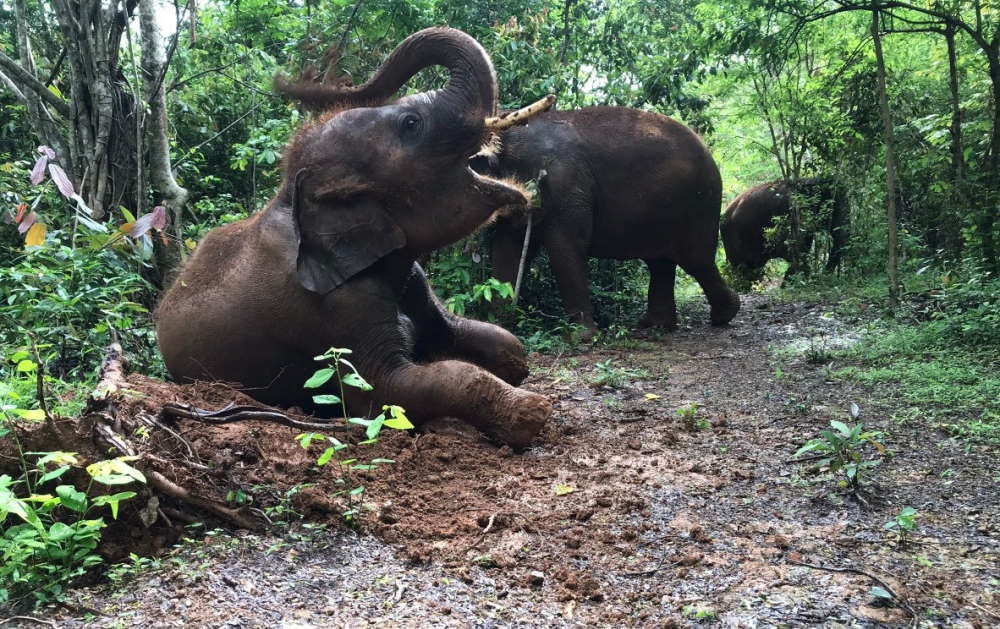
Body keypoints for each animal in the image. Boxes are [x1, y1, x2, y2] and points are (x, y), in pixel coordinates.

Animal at [472, 106, 740, 338]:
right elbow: (507, 248)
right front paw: (496, 327)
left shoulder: (564, 183)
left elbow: (565, 245)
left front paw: (582, 336)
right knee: (661, 262)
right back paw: (654, 325)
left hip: (698, 202)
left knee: (695, 260)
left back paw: (724, 315)